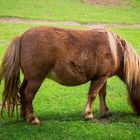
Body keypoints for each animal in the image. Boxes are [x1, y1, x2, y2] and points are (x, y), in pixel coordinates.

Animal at [0, 25, 140, 124]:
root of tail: (21, 37)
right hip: (36, 79)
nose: (138, 114)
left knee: (22, 92)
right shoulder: (100, 78)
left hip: (29, 78)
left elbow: (102, 94)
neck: (116, 50)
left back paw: (25, 115)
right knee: (28, 95)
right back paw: (33, 119)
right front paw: (88, 114)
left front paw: (105, 111)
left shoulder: (103, 77)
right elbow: (93, 95)